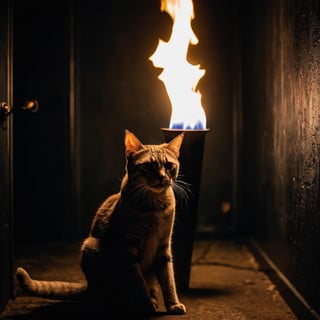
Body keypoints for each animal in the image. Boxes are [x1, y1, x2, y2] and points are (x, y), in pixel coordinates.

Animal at [16, 129, 188, 316]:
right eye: (148, 166)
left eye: (169, 166)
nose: (162, 177)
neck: (154, 206)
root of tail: (89, 286)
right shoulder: (128, 247)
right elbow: (137, 282)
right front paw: (145, 305)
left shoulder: (164, 246)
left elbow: (168, 280)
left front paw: (173, 304)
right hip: (91, 248)